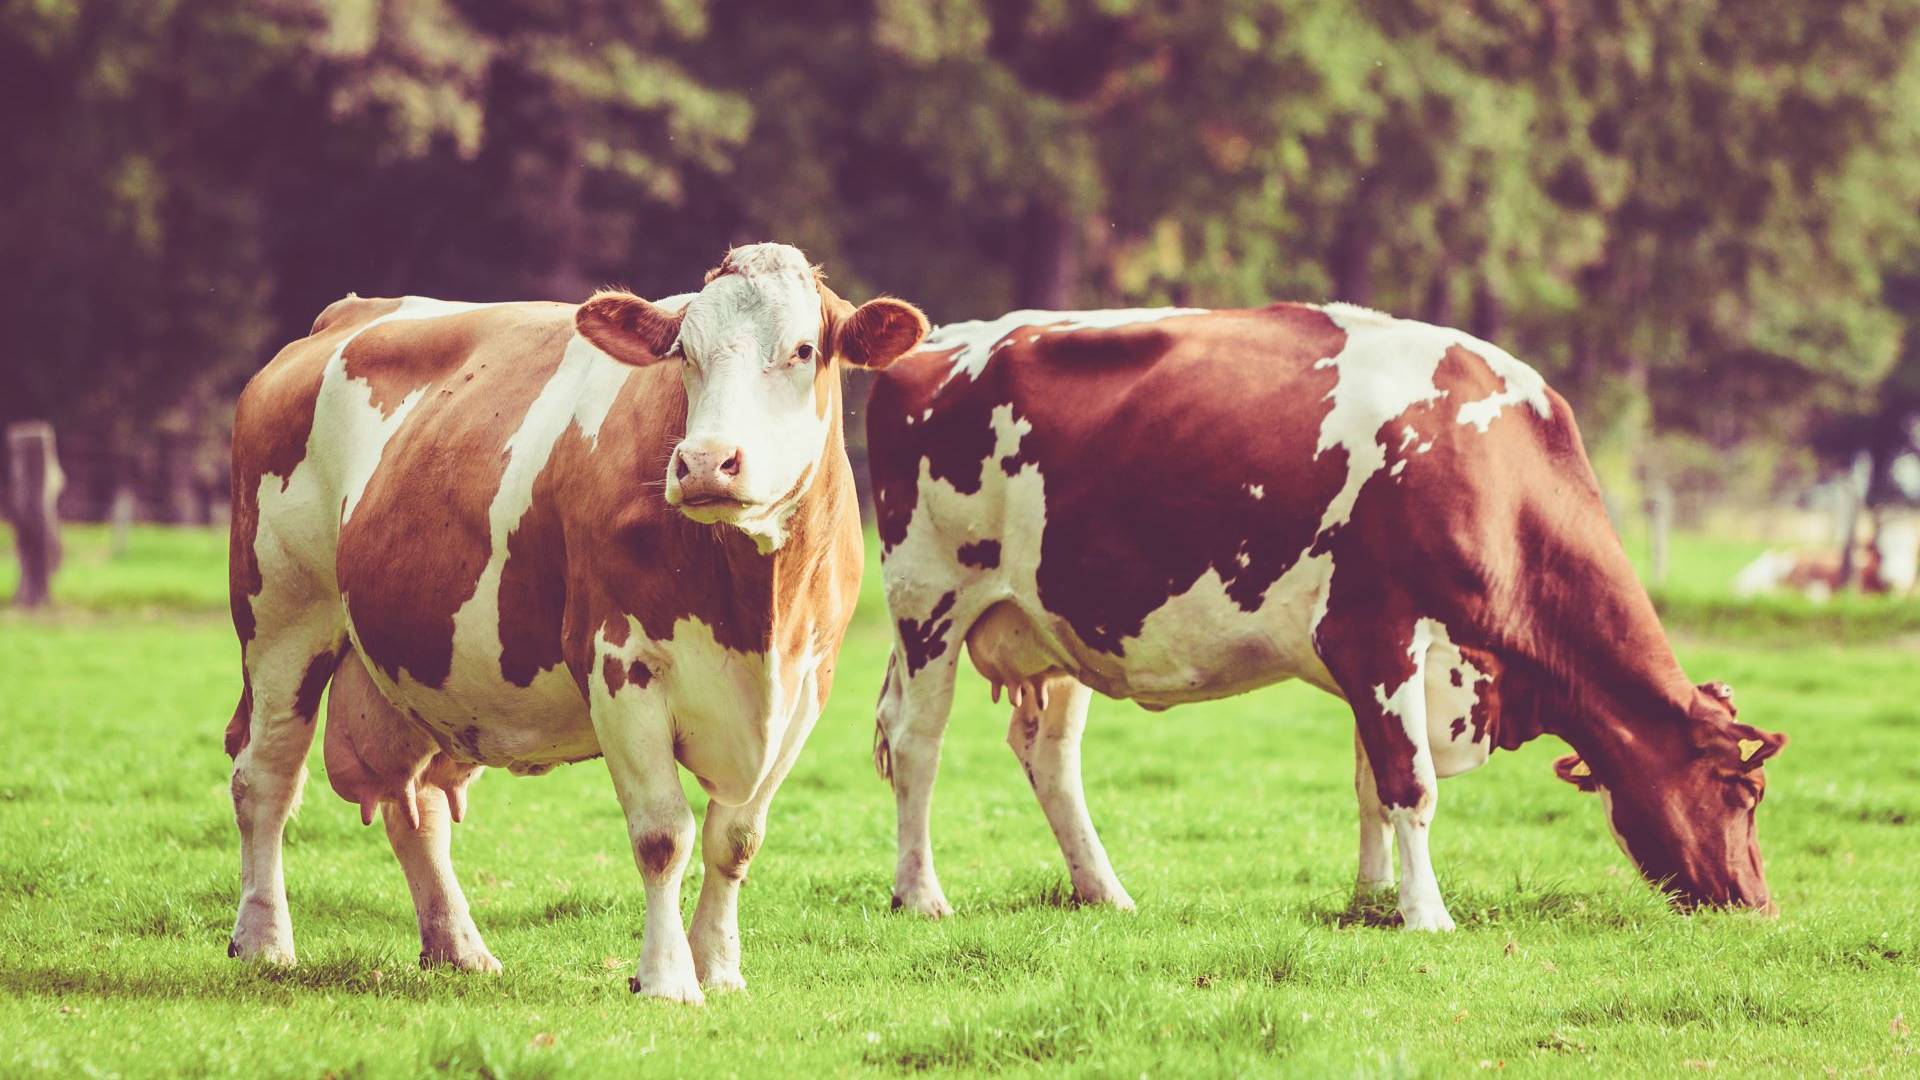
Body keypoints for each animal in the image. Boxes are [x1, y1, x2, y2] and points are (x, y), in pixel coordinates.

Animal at [224, 239, 929, 999]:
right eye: (684, 352)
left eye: (803, 350)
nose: (707, 462)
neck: (756, 612)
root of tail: (347, 313)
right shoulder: (619, 665)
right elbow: (664, 836)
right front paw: (667, 980)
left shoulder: (806, 686)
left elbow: (735, 841)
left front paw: (719, 968)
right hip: (281, 621)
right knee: (264, 777)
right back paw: (263, 940)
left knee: (414, 805)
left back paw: (459, 947)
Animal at [871, 299, 1781, 926]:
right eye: (1741, 791)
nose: (1759, 904)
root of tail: (934, 342)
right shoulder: (1375, 631)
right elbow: (1410, 783)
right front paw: (1428, 915)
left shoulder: (1388, 663)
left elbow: (1372, 784)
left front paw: (1375, 899)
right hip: (929, 601)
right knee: (918, 744)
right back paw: (922, 895)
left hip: (1053, 626)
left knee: (1049, 757)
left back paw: (1105, 891)